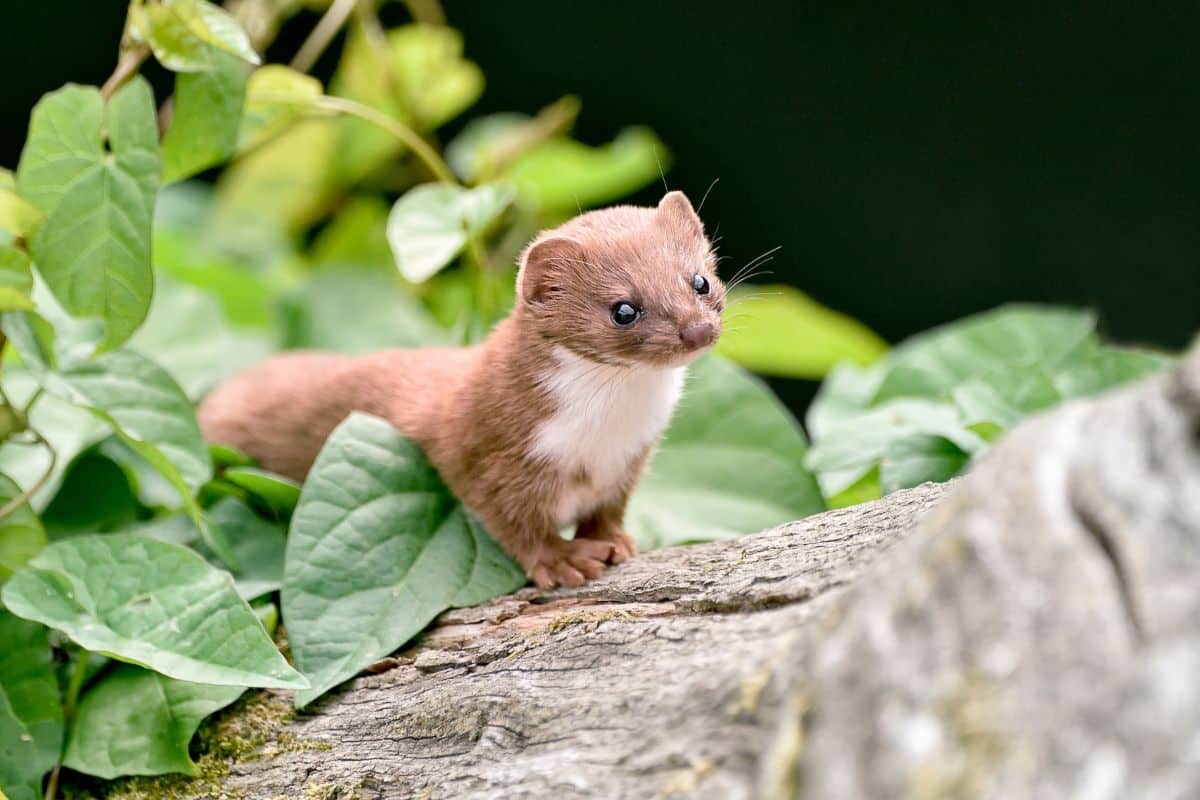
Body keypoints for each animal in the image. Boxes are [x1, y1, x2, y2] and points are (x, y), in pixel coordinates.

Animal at [199, 191, 720, 587]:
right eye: (623, 309)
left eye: (700, 281)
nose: (697, 330)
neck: (602, 437)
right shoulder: (484, 454)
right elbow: (516, 524)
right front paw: (564, 560)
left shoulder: (630, 461)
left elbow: (609, 510)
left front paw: (616, 541)